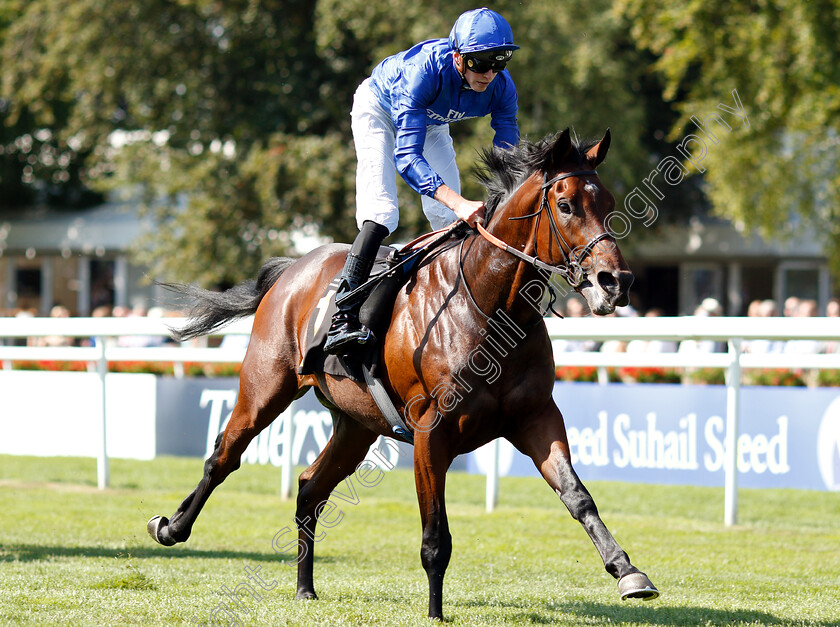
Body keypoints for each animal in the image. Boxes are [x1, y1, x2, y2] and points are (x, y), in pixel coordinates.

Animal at [151, 130, 664, 620]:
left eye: (609, 203)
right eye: (566, 205)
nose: (616, 282)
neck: (490, 309)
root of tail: (292, 269)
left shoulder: (535, 417)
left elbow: (578, 496)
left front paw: (628, 572)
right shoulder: (430, 431)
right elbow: (435, 533)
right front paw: (436, 612)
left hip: (356, 424)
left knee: (310, 488)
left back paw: (304, 588)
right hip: (264, 389)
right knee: (223, 456)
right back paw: (171, 527)